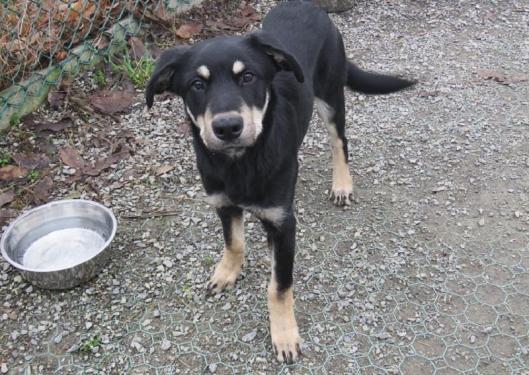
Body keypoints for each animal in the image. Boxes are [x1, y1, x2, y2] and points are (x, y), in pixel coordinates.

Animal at [144, 0, 412, 364]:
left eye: (248, 77)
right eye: (197, 85)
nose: (227, 127)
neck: (240, 162)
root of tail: (309, 6)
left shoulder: (284, 223)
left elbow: (279, 286)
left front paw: (284, 334)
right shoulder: (224, 204)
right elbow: (234, 243)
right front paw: (227, 272)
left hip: (331, 95)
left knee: (338, 142)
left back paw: (342, 184)